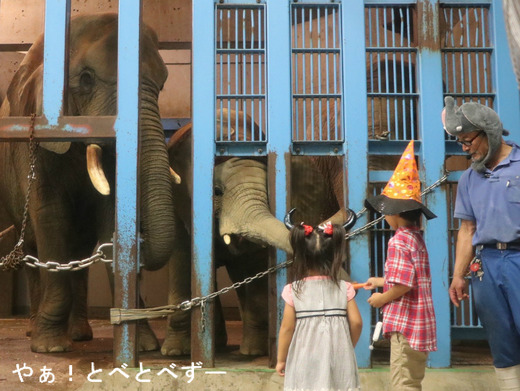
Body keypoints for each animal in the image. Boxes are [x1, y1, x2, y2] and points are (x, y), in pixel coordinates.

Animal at [0, 13, 176, 354]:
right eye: (85, 79)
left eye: (163, 85)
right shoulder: (37, 137)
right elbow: (51, 216)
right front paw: (50, 347)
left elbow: (110, 218)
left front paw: (143, 343)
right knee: (32, 249)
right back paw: (34, 331)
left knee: (79, 255)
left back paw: (80, 334)